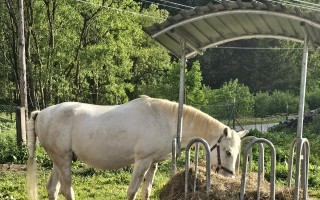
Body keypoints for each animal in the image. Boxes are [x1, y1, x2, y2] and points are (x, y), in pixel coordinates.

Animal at [26, 95, 248, 200]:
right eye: (228, 152)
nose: (229, 178)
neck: (165, 120)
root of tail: (42, 113)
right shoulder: (142, 161)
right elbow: (132, 191)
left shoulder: (153, 163)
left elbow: (146, 190)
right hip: (63, 160)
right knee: (66, 190)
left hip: (60, 159)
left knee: (53, 188)